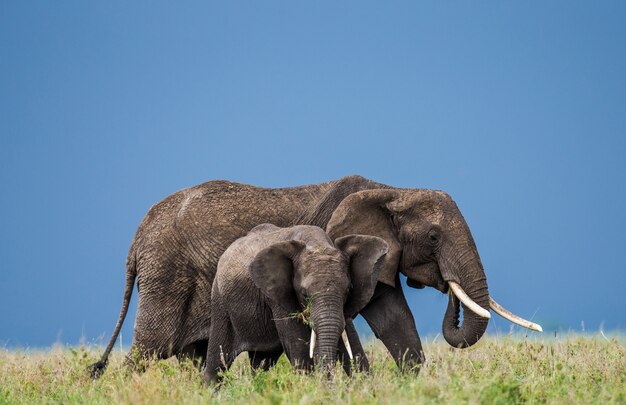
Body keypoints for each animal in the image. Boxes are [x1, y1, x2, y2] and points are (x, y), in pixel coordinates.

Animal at [205, 223, 388, 380]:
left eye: (347, 291)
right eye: (304, 294)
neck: (316, 243)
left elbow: (351, 341)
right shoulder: (277, 295)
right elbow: (298, 346)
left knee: (262, 363)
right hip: (220, 300)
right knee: (217, 364)